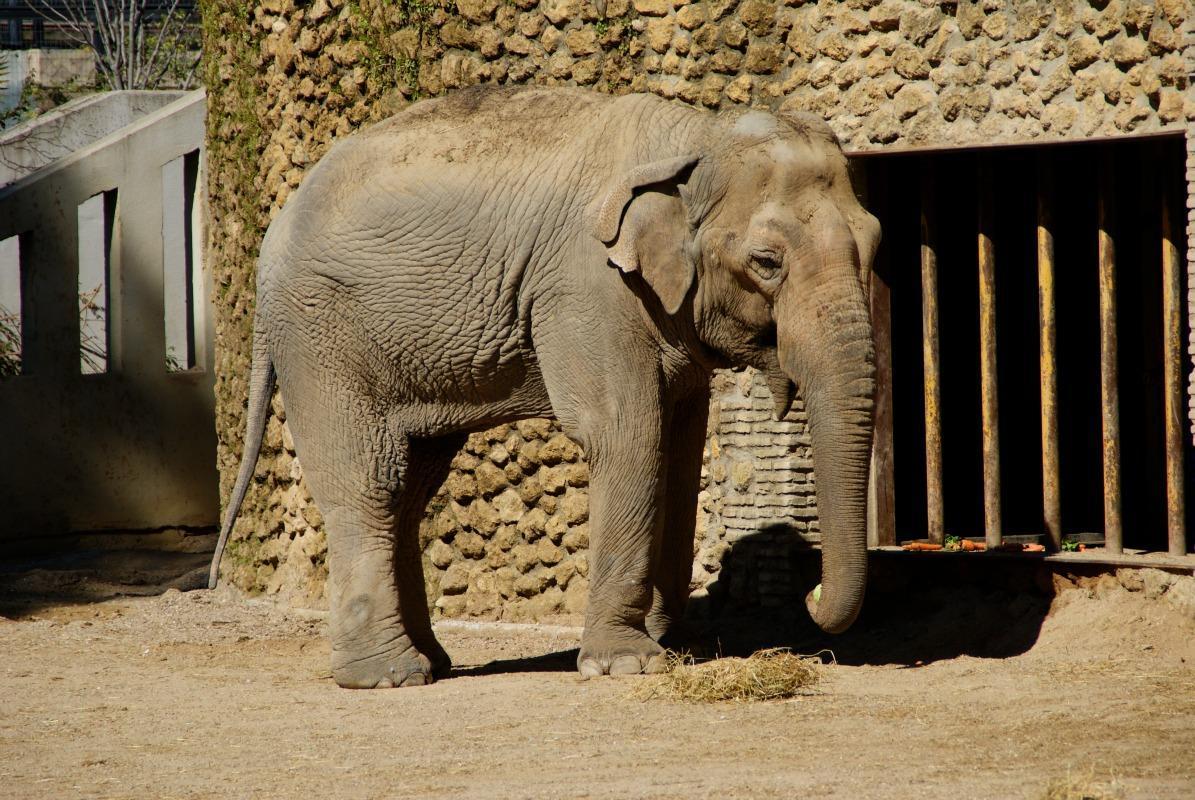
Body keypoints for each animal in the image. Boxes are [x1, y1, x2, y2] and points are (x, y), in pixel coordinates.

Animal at [207, 86, 880, 688]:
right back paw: (388, 677)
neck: (696, 137)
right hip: (323, 338)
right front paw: (626, 664)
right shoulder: (587, 288)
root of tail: (271, 242)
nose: (813, 589)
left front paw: (667, 644)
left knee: (412, 485)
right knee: (368, 482)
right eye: (766, 262)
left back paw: (434, 664)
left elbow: (681, 449)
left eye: (875, 243)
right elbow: (627, 436)